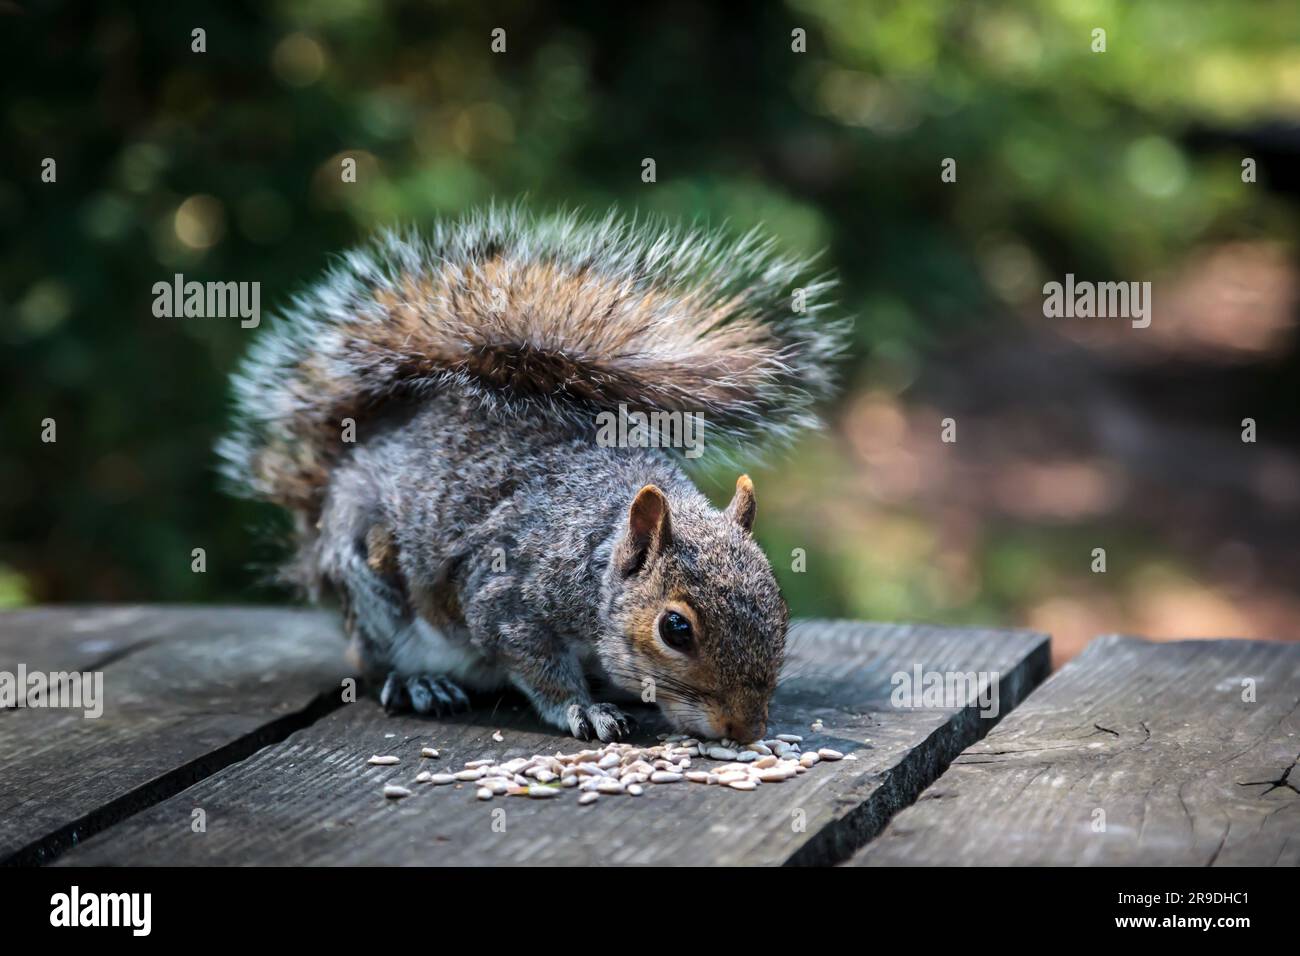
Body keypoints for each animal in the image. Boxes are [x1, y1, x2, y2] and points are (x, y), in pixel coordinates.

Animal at [218, 206, 846, 743]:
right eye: (676, 629)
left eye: (781, 608)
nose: (748, 729)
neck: (596, 546)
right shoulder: (504, 596)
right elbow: (536, 663)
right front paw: (584, 709)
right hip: (370, 584)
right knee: (372, 663)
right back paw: (417, 682)